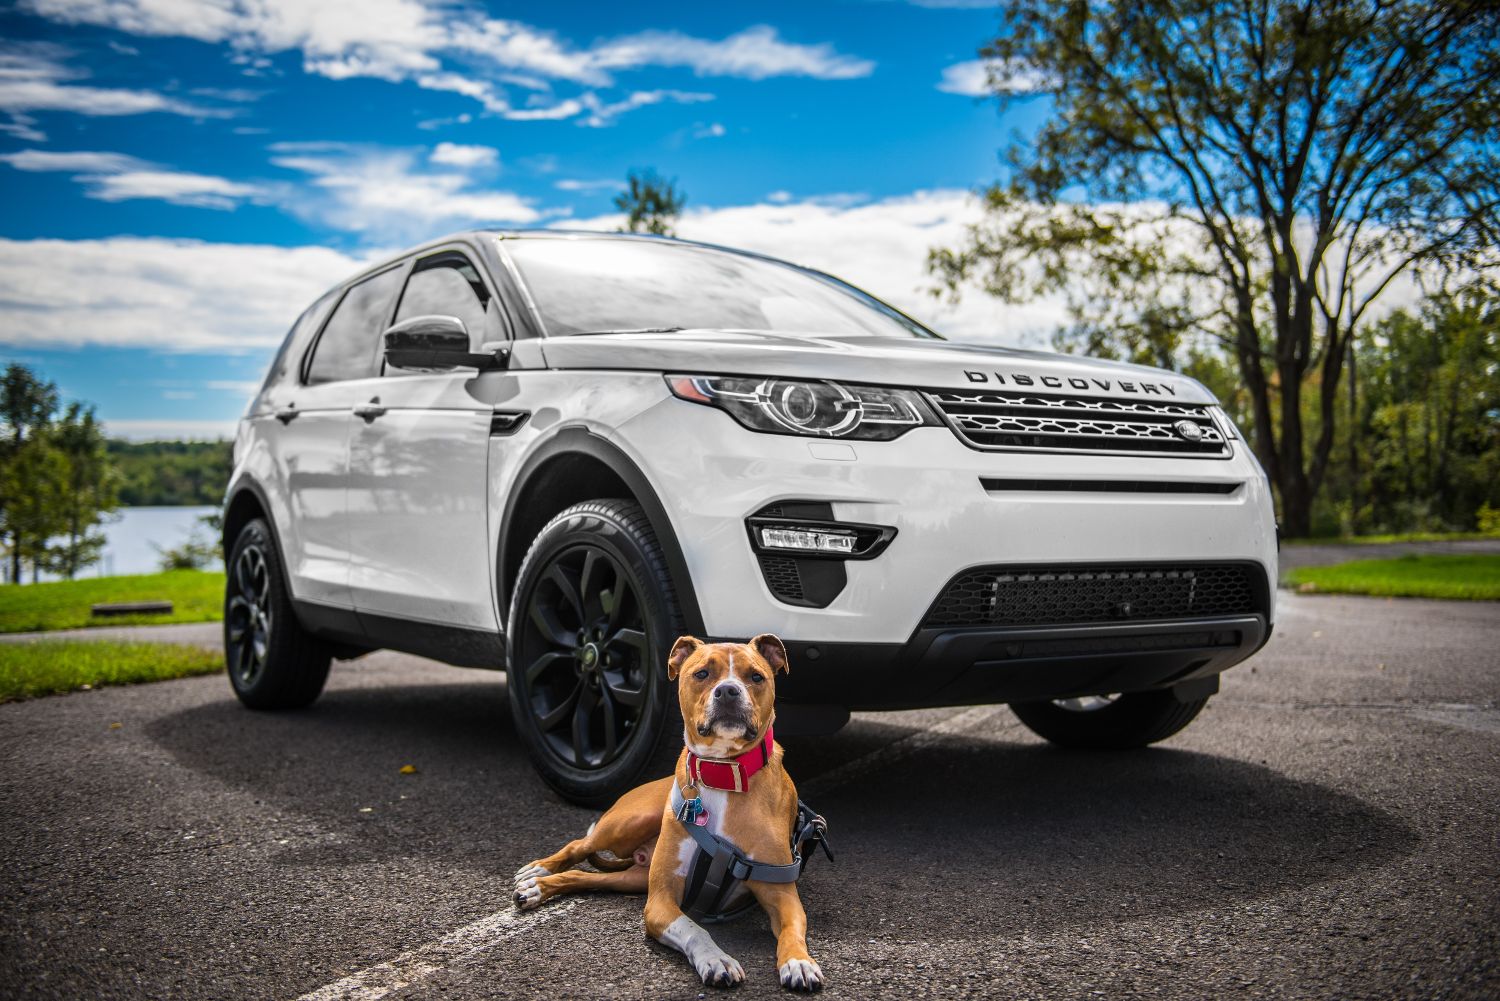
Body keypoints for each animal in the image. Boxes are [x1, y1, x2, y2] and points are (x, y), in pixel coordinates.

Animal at [513, 633, 822, 996]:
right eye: (702, 673)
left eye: (756, 677)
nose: (728, 691)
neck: (722, 773)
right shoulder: (660, 902)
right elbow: (695, 929)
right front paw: (716, 960)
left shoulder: (782, 894)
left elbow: (792, 932)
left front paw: (799, 962)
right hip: (626, 826)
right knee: (579, 845)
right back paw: (537, 872)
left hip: (633, 878)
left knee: (584, 877)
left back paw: (539, 888)